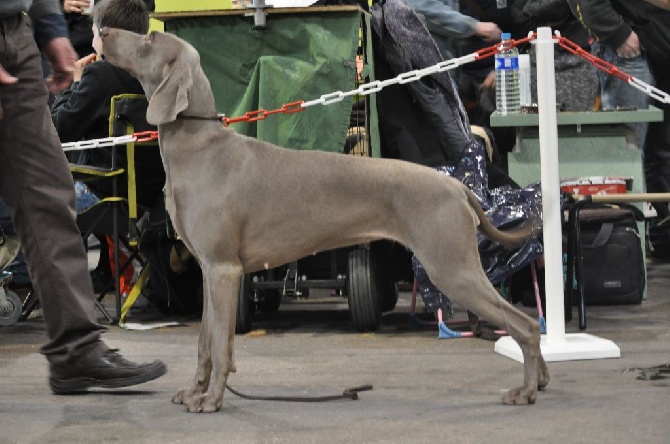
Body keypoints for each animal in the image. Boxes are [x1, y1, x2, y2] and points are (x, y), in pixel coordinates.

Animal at [101, 26, 552, 412]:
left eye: (149, 38)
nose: (101, 28)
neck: (199, 146)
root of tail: (458, 186)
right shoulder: (210, 271)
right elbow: (204, 343)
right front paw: (193, 392)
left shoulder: (224, 270)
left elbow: (221, 346)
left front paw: (211, 400)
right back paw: (541, 380)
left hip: (451, 268)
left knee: (525, 325)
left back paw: (527, 390)